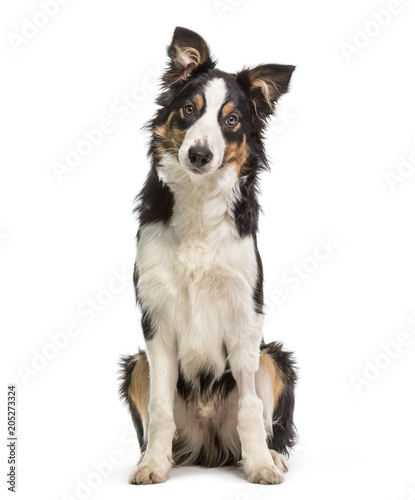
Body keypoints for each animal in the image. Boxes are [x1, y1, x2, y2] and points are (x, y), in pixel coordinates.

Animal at [121, 27, 300, 484]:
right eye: (189, 110)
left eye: (231, 120)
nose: (200, 154)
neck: (200, 202)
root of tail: (210, 447)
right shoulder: (156, 319)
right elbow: (159, 408)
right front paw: (152, 466)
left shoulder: (244, 314)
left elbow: (251, 408)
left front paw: (260, 466)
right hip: (137, 364)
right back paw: (157, 457)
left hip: (272, 357)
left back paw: (270, 456)